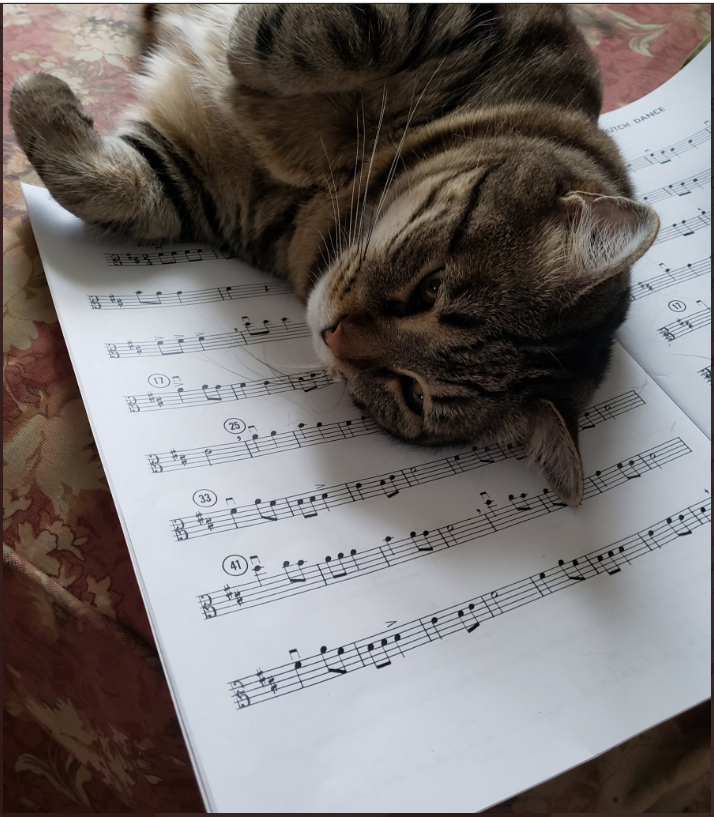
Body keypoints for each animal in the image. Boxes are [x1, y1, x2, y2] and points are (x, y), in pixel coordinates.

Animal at [8, 3, 660, 504]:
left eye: (412, 394)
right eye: (430, 288)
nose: (334, 334)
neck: (335, 188)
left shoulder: (195, 187)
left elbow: (114, 187)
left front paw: (41, 98)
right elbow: (315, 37)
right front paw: (237, 53)